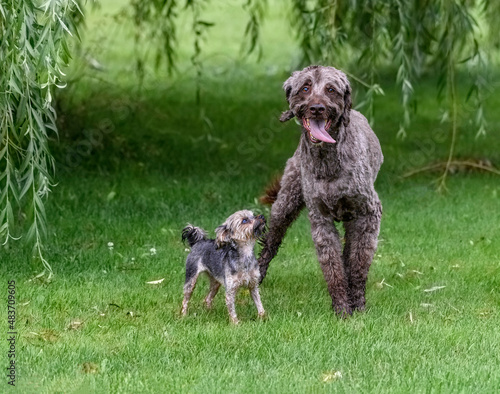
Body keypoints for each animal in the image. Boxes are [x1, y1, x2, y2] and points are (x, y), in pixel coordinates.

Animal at [258, 64, 382, 318]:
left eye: (331, 89)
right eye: (305, 88)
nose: (316, 108)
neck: (327, 161)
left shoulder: (368, 214)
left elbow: (359, 263)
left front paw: (358, 304)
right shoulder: (320, 219)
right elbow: (332, 266)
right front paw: (342, 308)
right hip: (285, 204)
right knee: (270, 243)